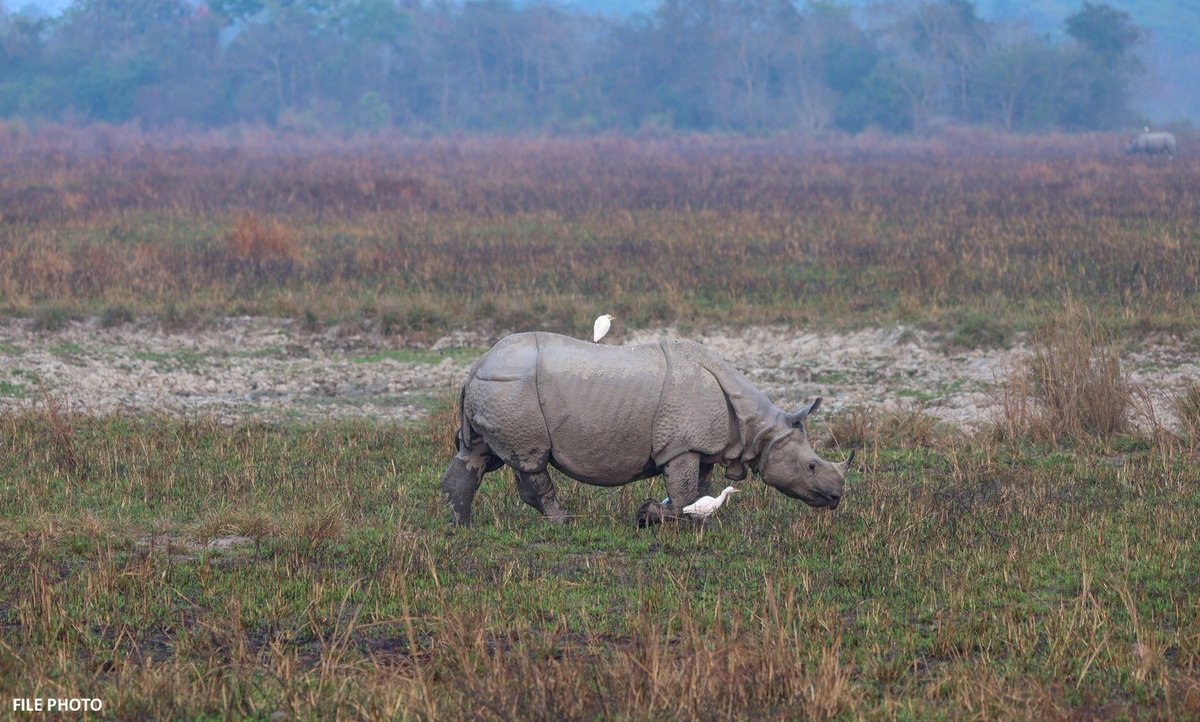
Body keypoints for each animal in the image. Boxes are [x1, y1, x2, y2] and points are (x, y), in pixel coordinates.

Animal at [439, 332, 853, 526]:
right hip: (513, 390)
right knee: (530, 460)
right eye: (811, 466)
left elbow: (697, 490)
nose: (836, 498)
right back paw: (563, 522)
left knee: (477, 454)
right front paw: (654, 516)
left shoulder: (700, 445)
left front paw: (683, 517)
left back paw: (461, 525)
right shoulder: (681, 445)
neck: (759, 426)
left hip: (497, 390)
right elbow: (684, 492)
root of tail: (477, 364)